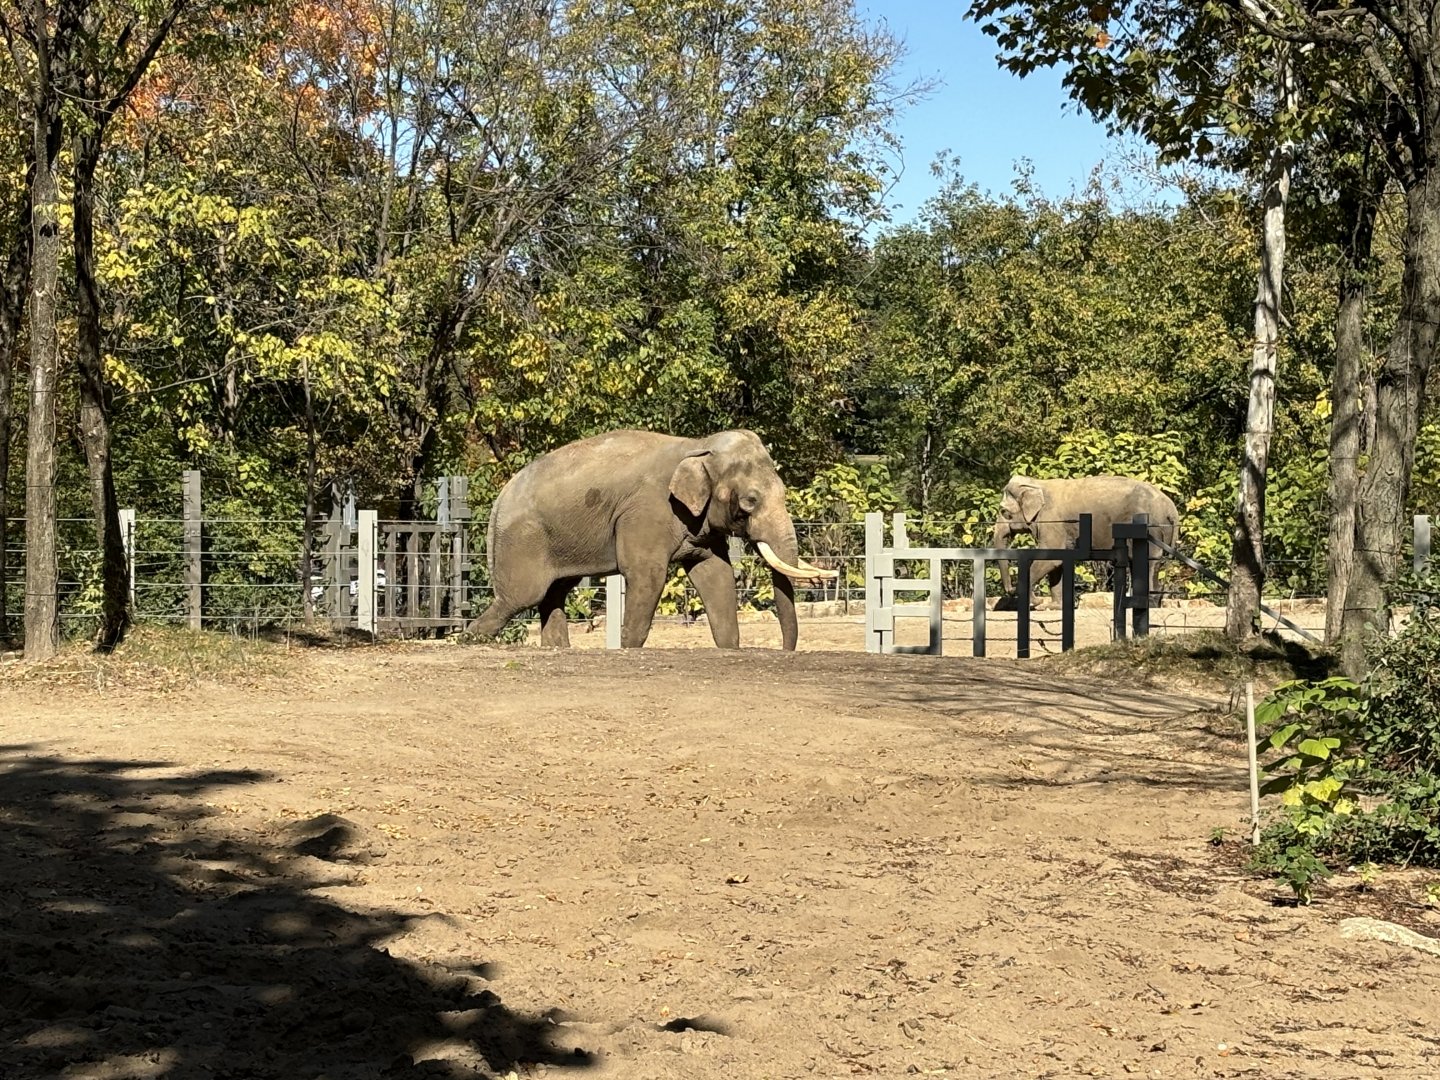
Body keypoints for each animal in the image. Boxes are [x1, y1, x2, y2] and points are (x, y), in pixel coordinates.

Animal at [467, 428, 836, 649]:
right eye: (750, 501)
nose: (785, 651)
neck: (697, 446)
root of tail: (499, 500)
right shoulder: (648, 512)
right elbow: (647, 575)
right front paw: (628, 646)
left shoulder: (698, 522)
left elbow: (714, 574)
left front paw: (730, 646)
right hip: (523, 540)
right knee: (522, 597)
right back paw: (467, 639)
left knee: (553, 593)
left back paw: (556, 648)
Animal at [990, 474, 1180, 608]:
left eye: (1004, 512)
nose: (1010, 590)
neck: (1037, 484)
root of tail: (1171, 509)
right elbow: (1058, 560)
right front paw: (1053, 607)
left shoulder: (1052, 521)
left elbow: (1051, 557)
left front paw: (1039, 604)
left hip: (1151, 527)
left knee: (1147, 561)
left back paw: (1148, 604)